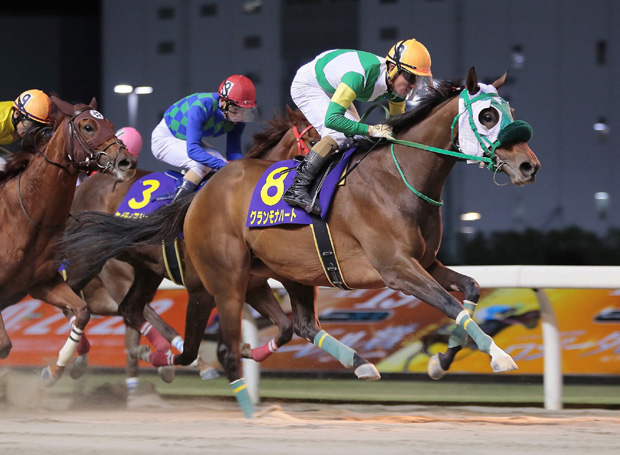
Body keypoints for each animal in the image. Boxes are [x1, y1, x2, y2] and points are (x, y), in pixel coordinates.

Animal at [0, 95, 136, 387]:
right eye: (88, 126)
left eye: (110, 124)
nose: (127, 162)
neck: (24, 217)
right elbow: (5, 345)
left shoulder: (42, 283)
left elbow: (82, 311)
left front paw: (54, 371)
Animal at [62, 106, 319, 384]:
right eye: (312, 140)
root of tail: (85, 187)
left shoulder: (253, 286)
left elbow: (285, 328)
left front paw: (247, 351)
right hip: (100, 267)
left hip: (145, 270)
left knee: (128, 309)